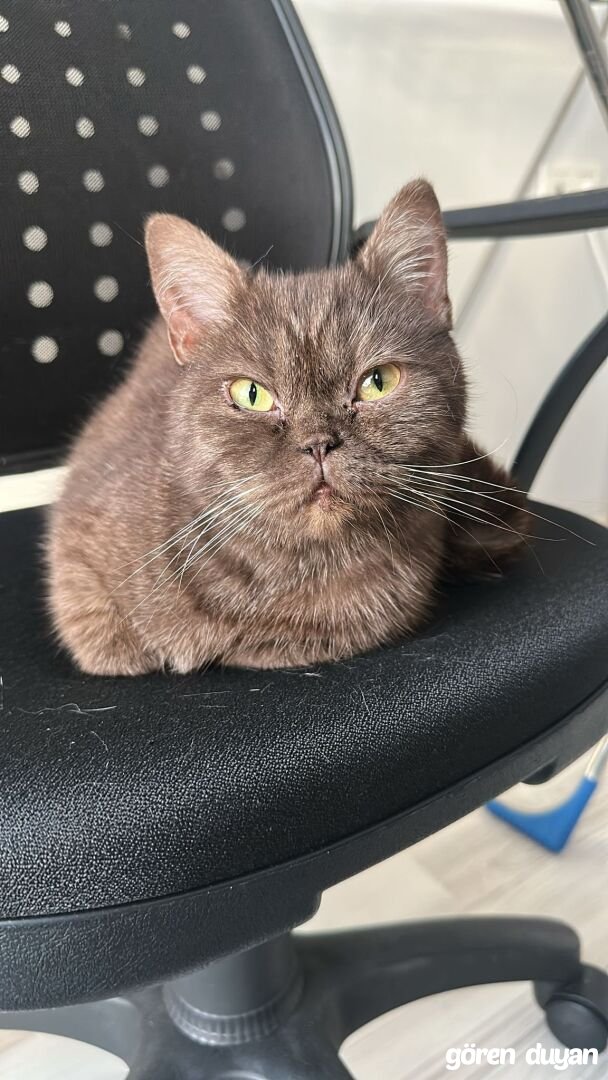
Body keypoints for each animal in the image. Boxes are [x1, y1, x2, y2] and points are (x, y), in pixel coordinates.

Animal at [47, 180, 528, 676]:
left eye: (378, 382)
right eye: (251, 394)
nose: (318, 443)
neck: (293, 570)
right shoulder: (75, 564)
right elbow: (111, 641)